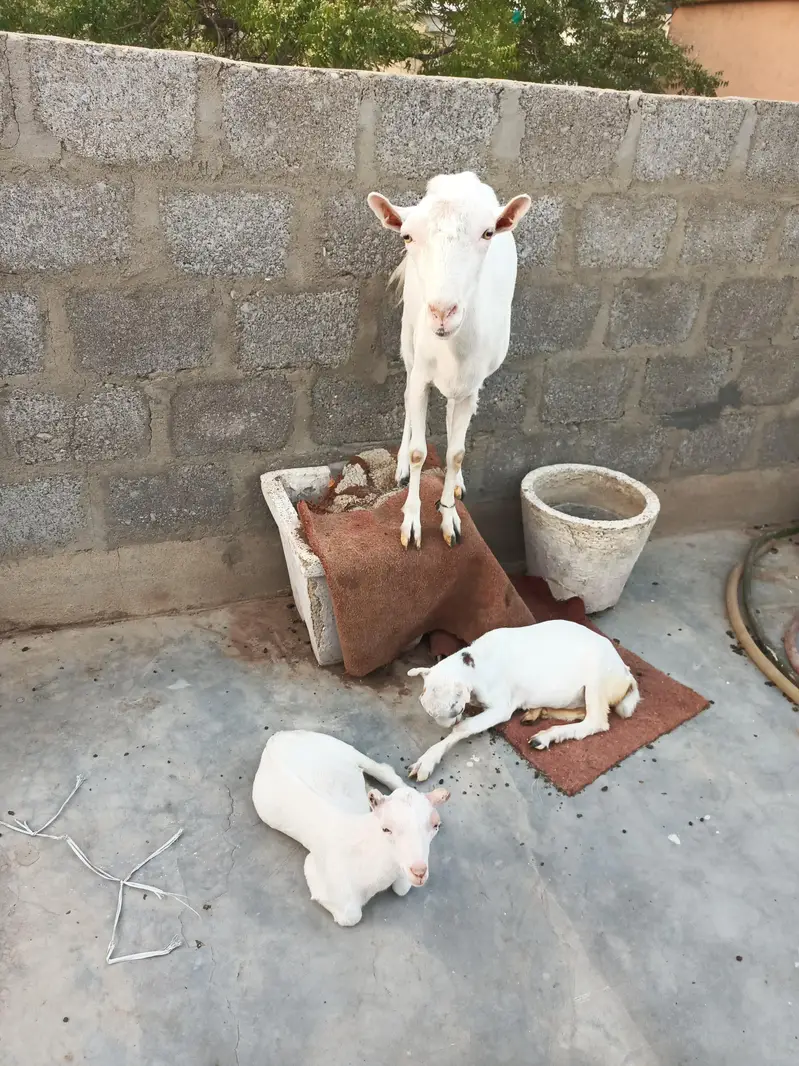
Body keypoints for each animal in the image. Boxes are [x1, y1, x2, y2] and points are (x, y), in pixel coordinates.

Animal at [252, 730, 449, 926]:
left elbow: (401, 888)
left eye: (435, 825)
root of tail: (277, 736)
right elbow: (351, 915)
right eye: (386, 829)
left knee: (382, 769)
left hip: (341, 747)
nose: (419, 872)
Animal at [367, 172, 531, 549]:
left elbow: (456, 452)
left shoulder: (471, 385)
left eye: (488, 233)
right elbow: (418, 451)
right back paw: (401, 467)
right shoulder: (421, 372)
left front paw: (449, 518)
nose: (443, 312)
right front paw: (411, 524)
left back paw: (455, 485)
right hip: (408, 335)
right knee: (408, 394)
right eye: (407, 236)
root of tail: (460, 178)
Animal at [405, 620, 640, 781]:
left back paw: (547, 735)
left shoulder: (501, 707)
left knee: (595, 720)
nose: (449, 722)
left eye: (453, 711)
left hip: (596, 680)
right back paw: (539, 713)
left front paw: (428, 759)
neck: (476, 663)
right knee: (581, 712)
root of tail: (626, 673)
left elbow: (464, 728)